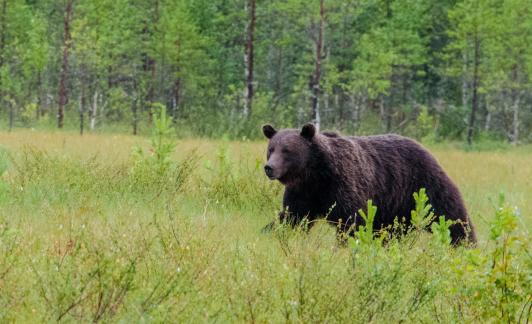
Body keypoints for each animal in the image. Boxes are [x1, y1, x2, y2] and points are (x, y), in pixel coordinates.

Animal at [264, 123, 476, 244]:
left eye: (287, 150)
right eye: (271, 149)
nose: (269, 168)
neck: (315, 174)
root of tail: (426, 148)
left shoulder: (343, 185)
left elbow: (351, 221)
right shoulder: (303, 193)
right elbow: (292, 217)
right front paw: (271, 233)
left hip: (423, 186)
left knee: (450, 215)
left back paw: (465, 242)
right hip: (395, 207)